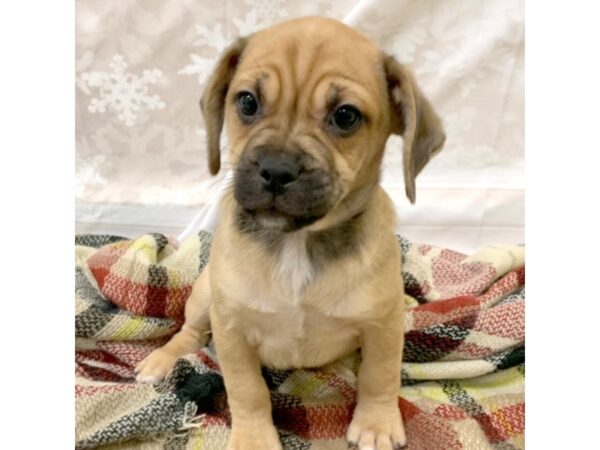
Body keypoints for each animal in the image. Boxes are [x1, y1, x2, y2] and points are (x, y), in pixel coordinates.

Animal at [137, 15, 446, 450]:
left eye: (346, 116)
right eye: (247, 102)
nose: (276, 170)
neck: (297, 242)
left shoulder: (383, 324)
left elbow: (379, 375)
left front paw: (377, 423)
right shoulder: (230, 328)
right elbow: (246, 389)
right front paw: (253, 438)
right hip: (205, 296)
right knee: (189, 331)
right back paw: (162, 359)